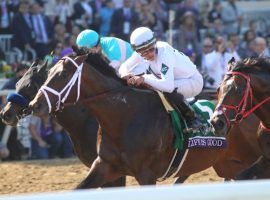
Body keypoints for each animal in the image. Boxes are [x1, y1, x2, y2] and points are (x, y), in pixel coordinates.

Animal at [26, 51, 260, 188]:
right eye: (48, 74)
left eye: (62, 75)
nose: (35, 105)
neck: (122, 117)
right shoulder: (104, 167)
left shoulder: (146, 175)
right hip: (228, 163)